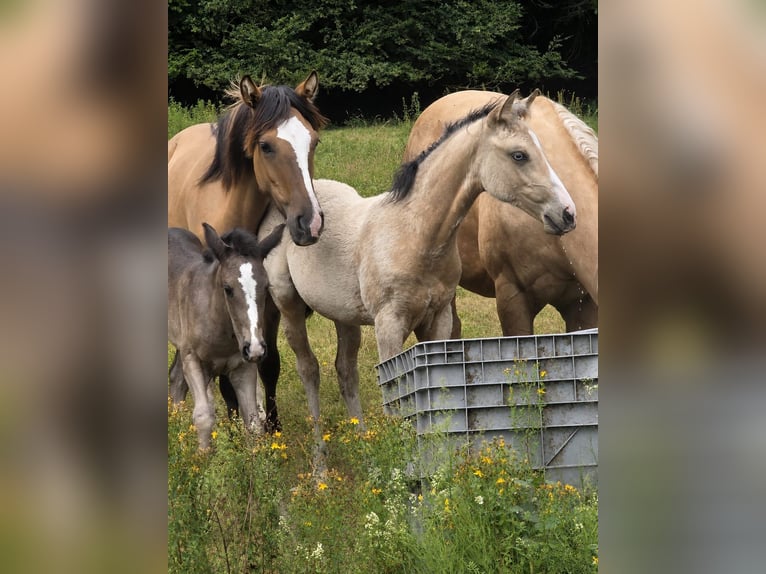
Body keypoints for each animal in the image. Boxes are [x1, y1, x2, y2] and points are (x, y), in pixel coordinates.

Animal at [168, 223, 284, 449]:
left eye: (266, 287)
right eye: (228, 288)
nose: (256, 347)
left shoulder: (243, 365)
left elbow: (252, 421)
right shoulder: (192, 359)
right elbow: (204, 416)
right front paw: (203, 456)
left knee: (176, 378)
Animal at [252, 90, 575, 468]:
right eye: (519, 155)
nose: (567, 214)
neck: (416, 233)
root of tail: (288, 209)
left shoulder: (437, 319)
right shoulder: (389, 324)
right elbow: (394, 396)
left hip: (343, 314)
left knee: (346, 372)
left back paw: (366, 450)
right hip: (288, 304)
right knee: (308, 369)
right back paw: (321, 467)